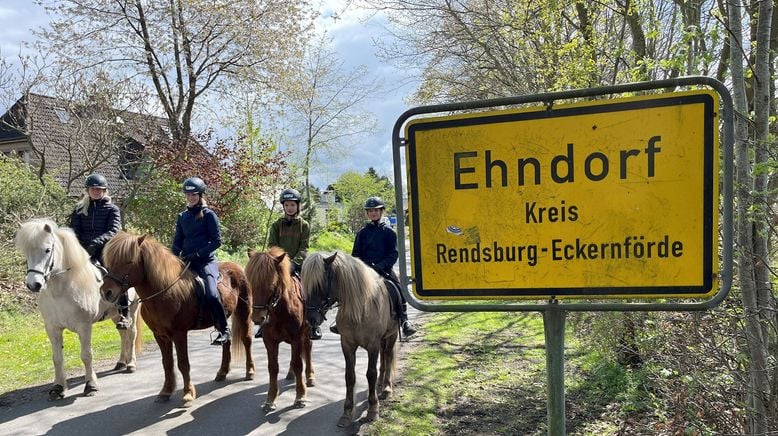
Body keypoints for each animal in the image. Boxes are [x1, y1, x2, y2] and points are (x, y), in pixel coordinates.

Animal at [14, 218, 141, 402]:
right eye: (26, 252)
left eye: (47, 250)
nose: (34, 284)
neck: (61, 290)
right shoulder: (52, 328)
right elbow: (57, 358)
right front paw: (58, 388)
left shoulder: (84, 326)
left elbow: (86, 355)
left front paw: (91, 386)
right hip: (115, 316)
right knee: (123, 334)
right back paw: (121, 362)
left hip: (132, 310)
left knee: (131, 334)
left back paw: (130, 364)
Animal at [100, 233, 255, 408]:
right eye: (110, 262)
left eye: (128, 261)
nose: (106, 292)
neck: (165, 293)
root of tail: (236, 267)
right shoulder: (160, 335)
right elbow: (167, 363)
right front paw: (166, 391)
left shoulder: (179, 334)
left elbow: (183, 363)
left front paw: (188, 394)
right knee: (226, 341)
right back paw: (222, 372)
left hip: (244, 312)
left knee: (246, 339)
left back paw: (250, 371)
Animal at [244, 247, 314, 414]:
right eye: (251, 283)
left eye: (271, 284)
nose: (258, 318)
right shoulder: (269, 340)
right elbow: (273, 368)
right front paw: (270, 399)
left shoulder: (297, 338)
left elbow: (298, 364)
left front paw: (300, 397)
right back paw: (290, 374)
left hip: (307, 332)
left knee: (307, 349)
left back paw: (310, 376)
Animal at [300, 250, 398, 428]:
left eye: (319, 285)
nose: (311, 319)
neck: (360, 310)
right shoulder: (347, 344)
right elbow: (349, 376)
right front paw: (346, 413)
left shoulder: (372, 345)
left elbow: (370, 374)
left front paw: (373, 410)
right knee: (383, 358)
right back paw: (381, 383)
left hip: (391, 335)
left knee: (388, 356)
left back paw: (387, 388)